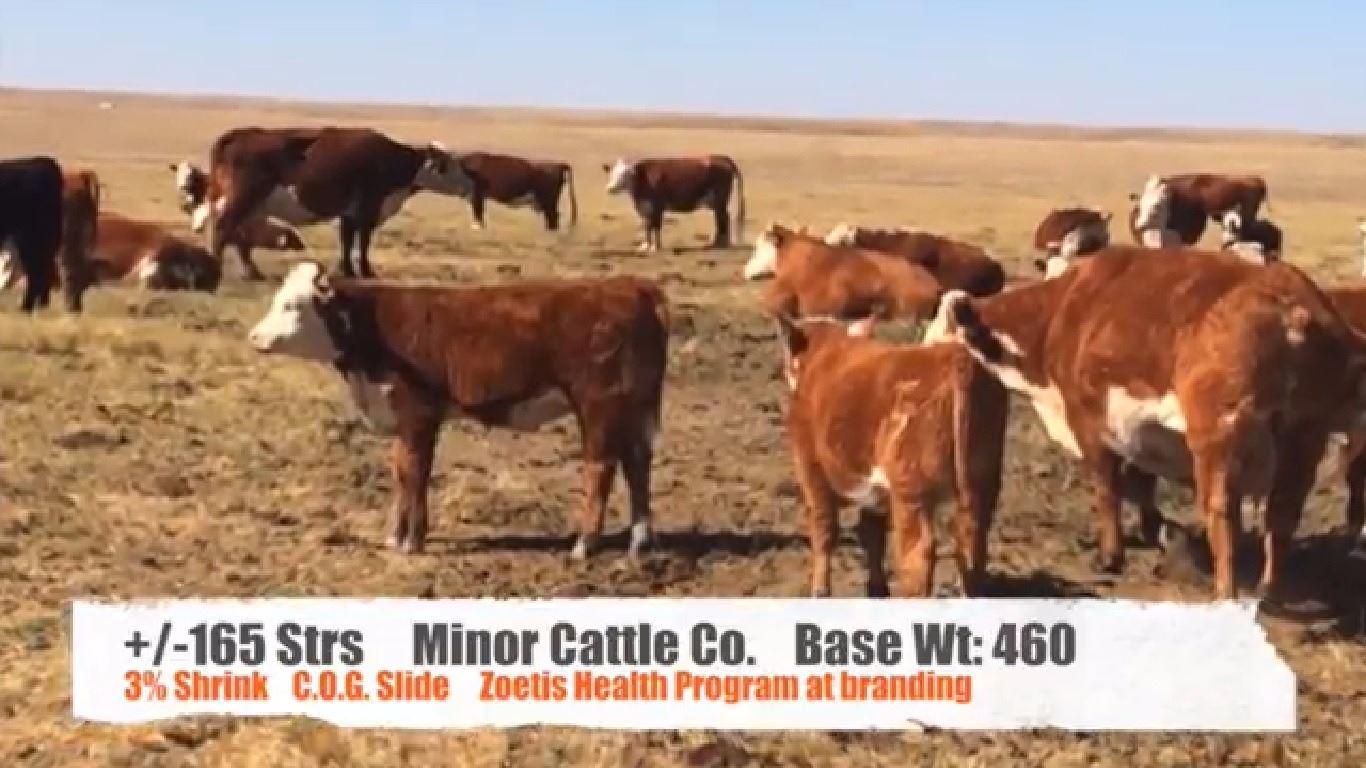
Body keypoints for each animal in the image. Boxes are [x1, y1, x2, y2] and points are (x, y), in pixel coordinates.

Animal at [175, 126, 472, 279]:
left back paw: (251, 273)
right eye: (447, 166)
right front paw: (366, 272)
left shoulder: (349, 213)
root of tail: (237, 135)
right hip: (243, 198)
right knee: (224, 229)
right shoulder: (368, 208)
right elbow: (362, 242)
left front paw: (346, 270)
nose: (469, 185)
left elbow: (347, 240)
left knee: (235, 235)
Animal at [246, 261, 670, 559]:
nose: (254, 337)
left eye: (292, 305)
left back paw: (584, 544)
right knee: (637, 465)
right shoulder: (403, 420)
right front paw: (395, 535)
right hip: (634, 408)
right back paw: (639, 541)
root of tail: (631, 286)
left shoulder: (418, 414)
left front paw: (411, 541)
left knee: (600, 468)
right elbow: (401, 472)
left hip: (598, 406)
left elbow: (415, 473)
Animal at [602, 155, 745, 253]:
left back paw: (721, 244)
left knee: (723, 218)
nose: (610, 188)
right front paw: (645, 246)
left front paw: (655, 247)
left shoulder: (657, 206)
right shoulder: (645, 207)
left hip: (720, 199)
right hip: (716, 202)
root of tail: (722, 158)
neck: (642, 178)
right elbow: (647, 226)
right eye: (613, 173)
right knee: (720, 218)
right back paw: (716, 243)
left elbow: (656, 226)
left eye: (625, 175)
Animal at [776, 315, 1008, 598]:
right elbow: (873, 534)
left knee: (919, 552)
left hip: (910, 488)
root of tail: (958, 358)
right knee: (973, 543)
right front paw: (877, 589)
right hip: (983, 483)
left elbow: (824, 529)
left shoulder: (810, 466)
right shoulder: (874, 489)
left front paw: (820, 591)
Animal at [922, 244, 1366, 601]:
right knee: (1283, 514)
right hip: (1304, 438)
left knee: (1222, 512)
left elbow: (1107, 488)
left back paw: (1225, 591)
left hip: (1216, 438)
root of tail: (1298, 308)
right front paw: (1155, 533)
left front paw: (1111, 555)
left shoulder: (1090, 421)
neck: (1061, 314)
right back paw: (1268, 589)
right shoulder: (1137, 430)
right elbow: (1140, 482)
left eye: (937, 331)